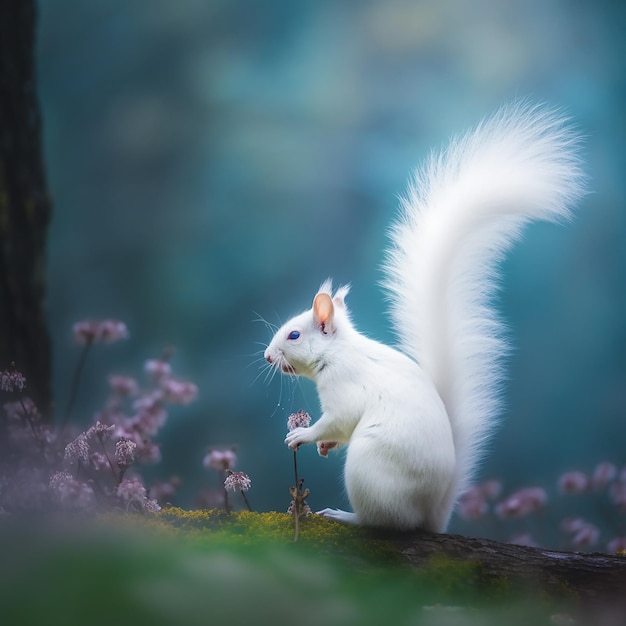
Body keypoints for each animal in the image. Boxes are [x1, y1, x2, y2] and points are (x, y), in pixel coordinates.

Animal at [264, 100, 584, 528]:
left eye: (294, 335)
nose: (268, 356)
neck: (339, 353)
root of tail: (432, 515)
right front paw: (324, 447)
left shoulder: (345, 390)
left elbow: (338, 419)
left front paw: (302, 437)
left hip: (369, 466)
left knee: (382, 522)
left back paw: (344, 515)